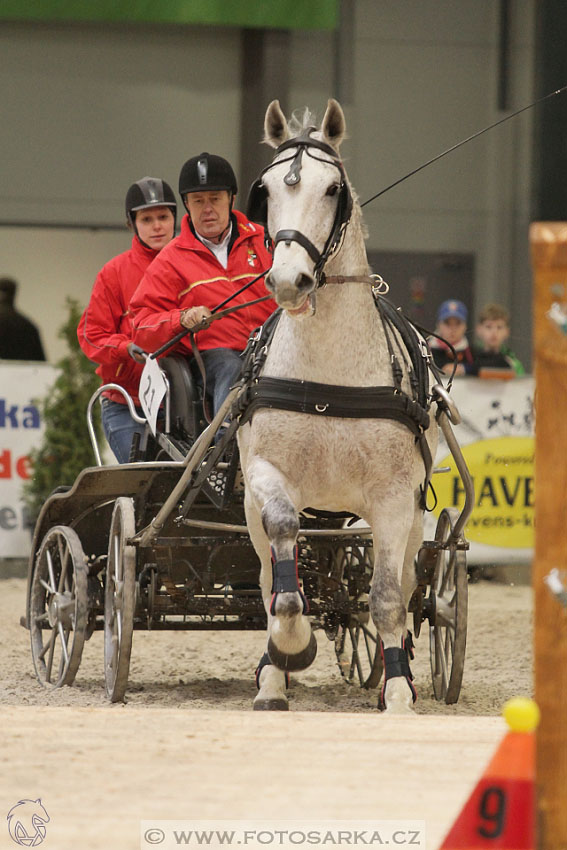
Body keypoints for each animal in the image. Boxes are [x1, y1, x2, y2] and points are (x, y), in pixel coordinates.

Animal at [237, 97, 438, 708]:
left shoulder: (395, 497)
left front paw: (397, 691)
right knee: (267, 576)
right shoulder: (266, 474)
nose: (289, 280)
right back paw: (272, 675)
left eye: (332, 189)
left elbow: (388, 598)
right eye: (267, 189)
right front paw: (290, 646)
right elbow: (282, 571)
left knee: (408, 583)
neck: (327, 378)